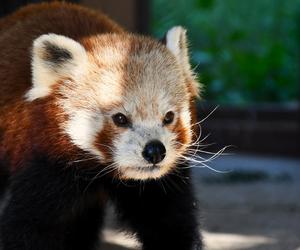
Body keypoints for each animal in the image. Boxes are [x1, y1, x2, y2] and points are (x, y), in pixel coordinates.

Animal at [0, 2, 202, 250]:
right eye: (120, 118)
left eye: (169, 117)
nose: (155, 151)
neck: (100, 170)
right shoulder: (45, 161)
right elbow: (29, 226)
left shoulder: (158, 184)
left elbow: (169, 222)